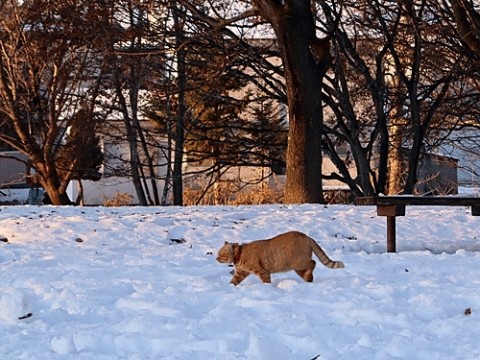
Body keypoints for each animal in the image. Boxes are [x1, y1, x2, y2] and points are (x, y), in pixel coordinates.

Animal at [216, 231, 344, 286]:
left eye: (221, 255)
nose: (216, 258)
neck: (240, 255)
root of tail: (307, 236)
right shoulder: (240, 273)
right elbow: (233, 281)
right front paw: (228, 288)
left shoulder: (262, 271)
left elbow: (266, 281)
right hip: (298, 268)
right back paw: (308, 280)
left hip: (298, 263)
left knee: (313, 263)